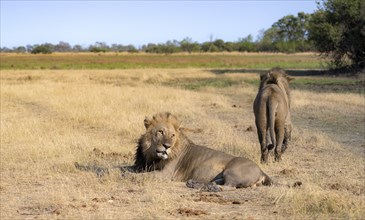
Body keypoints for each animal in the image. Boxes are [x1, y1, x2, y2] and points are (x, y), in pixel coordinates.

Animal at [128, 112, 270, 188]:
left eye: (173, 135)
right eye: (160, 132)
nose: (167, 146)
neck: (151, 154)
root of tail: (262, 171)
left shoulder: (166, 174)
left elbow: (144, 175)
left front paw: (132, 177)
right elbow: (128, 168)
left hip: (232, 171)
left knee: (229, 187)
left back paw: (208, 187)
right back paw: (197, 183)